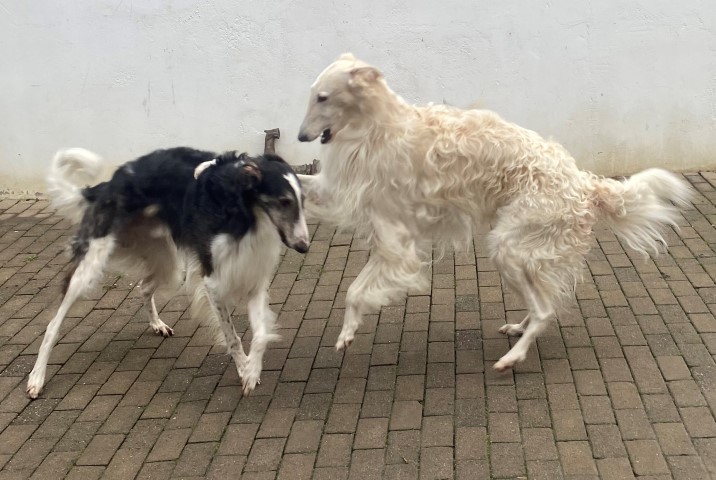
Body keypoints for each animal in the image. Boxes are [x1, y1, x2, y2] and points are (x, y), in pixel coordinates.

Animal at [27, 146, 309, 398]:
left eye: (302, 202)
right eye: (284, 201)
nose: (304, 247)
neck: (241, 209)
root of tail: (109, 184)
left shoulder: (253, 277)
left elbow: (260, 335)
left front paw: (252, 370)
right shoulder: (213, 282)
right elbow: (233, 337)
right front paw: (244, 370)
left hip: (168, 265)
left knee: (143, 287)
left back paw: (157, 324)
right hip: (90, 267)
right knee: (53, 324)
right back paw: (37, 377)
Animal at [296, 53, 694, 371]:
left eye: (322, 97)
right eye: (312, 94)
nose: (300, 137)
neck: (379, 128)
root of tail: (584, 184)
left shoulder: (396, 240)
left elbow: (355, 291)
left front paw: (347, 332)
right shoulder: (349, 202)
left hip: (510, 248)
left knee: (545, 311)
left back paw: (512, 357)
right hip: (526, 254)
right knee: (544, 304)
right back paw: (518, 328)